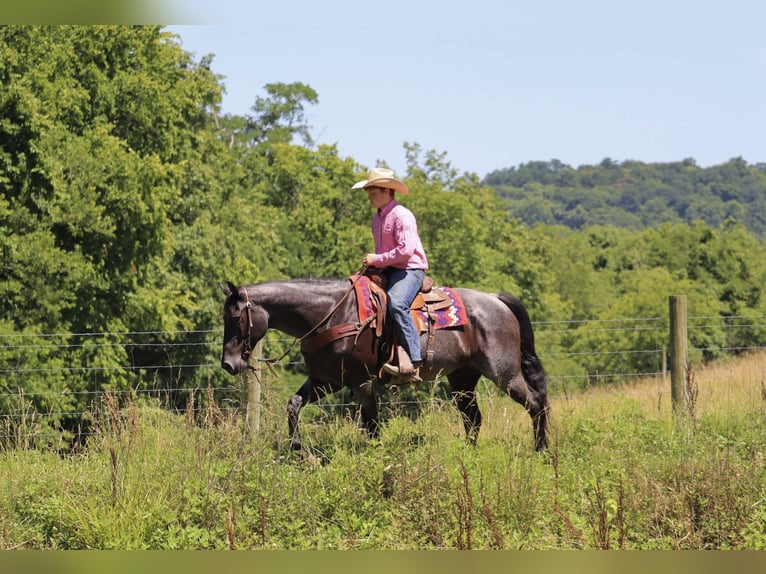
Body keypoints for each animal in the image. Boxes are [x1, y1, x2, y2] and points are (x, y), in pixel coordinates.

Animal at [219, 276, 548, 452]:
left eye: (235, 317)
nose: (228, 364)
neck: (330, 314)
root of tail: (496, 299)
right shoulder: (327, 380)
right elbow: (293, 405)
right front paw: (299, 450)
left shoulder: (362, 382)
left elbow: (372, 424)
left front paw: (376, 457)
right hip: (462, 379)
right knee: (473, 418)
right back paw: (469, 453)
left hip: (504, 374)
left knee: (535, 403)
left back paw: (541, 450)